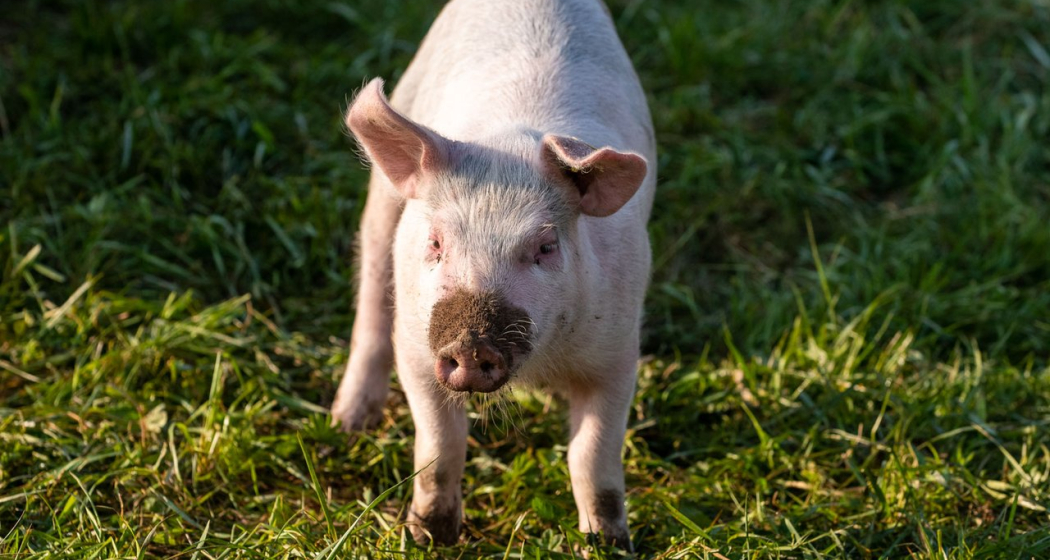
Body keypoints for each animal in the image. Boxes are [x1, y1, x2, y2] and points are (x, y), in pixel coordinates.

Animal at [330, 0, 655, 549]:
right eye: (436, 243)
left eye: (545, 247)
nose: (470, 344)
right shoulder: (417, 350)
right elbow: (440, 445)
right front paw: (428, 538)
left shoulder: (616, 351)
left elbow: (592, 454)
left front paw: (609, 545)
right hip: (382, 206)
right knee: (371, 298)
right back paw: (348, 424)